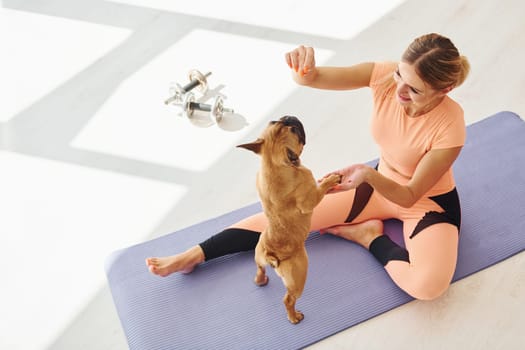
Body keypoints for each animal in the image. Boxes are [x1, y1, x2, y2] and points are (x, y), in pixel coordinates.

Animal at [236, 116, 340, 324]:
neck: (273, 165)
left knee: (259, 268)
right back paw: (294, 317)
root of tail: (270, 253)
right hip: (299, 276)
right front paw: (329, 181)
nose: (289, 117)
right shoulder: (309, 199)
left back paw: (260, 280)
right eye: (293, 130)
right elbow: (319, 189)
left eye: (274, 121)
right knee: (288, 299)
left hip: (258, 254)